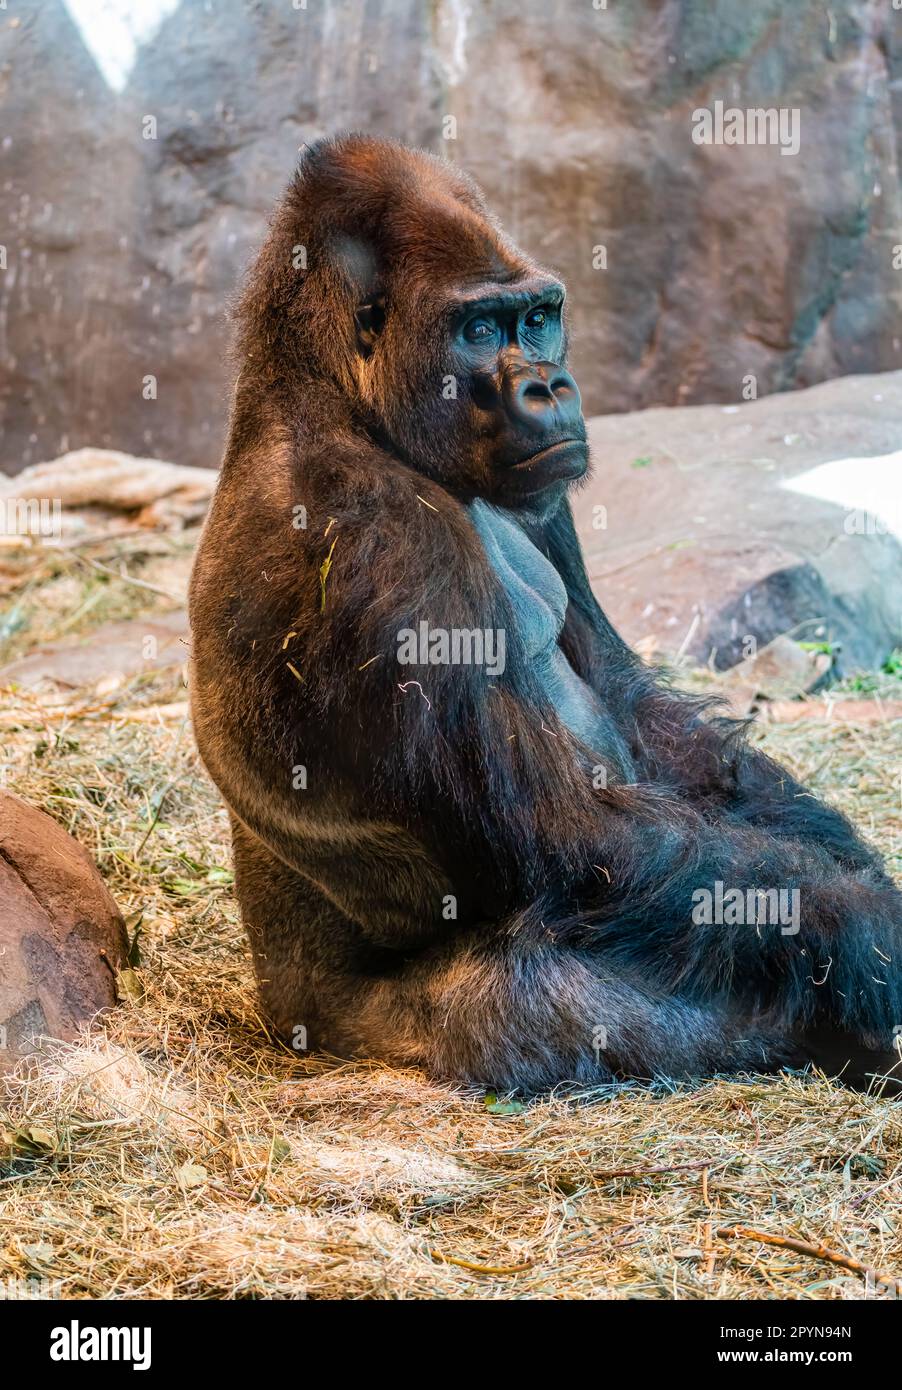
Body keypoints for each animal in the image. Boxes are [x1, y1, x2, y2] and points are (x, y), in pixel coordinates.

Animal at [189, 134, 901, 1092]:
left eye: (536, 319)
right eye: (480, 330)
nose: (549, 386)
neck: (325, 393)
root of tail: (281, 1017)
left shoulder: (541, 488)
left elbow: (624, 691)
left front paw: (847, 854)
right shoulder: (384, 537)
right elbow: (562, 835)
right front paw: (871, 933)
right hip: (384, 1033)